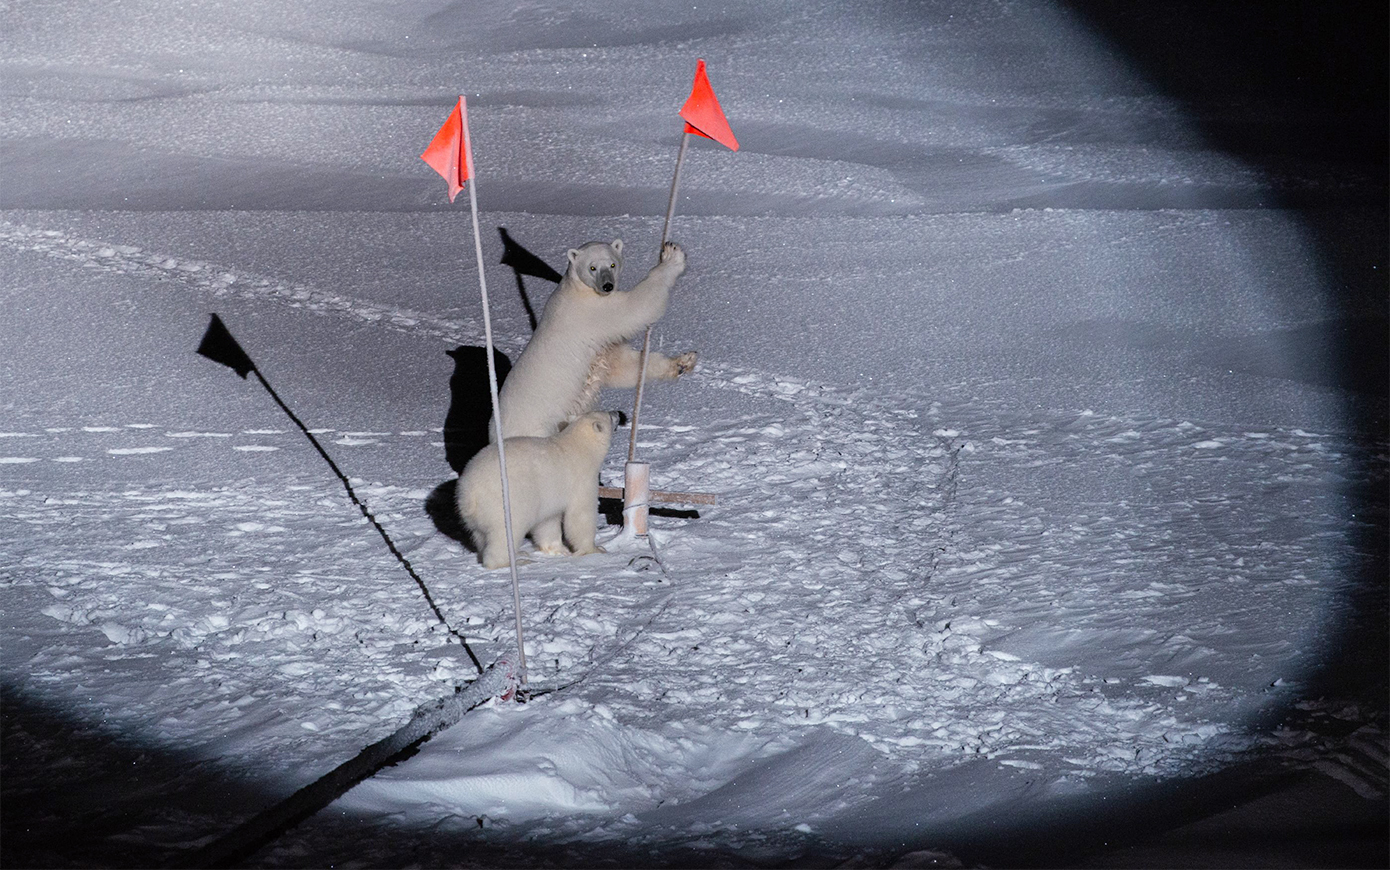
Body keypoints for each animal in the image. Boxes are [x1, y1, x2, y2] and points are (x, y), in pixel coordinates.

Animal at [455, 408, 619, 567]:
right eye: (609, 416)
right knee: (504, 535)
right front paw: (595, 549)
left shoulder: (549, 494)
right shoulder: (581, 480)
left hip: (476, 517)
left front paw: (558, 549)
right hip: (504, 505)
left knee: (480, 536)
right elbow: (580, 516)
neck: (579, 446)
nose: (618, 413)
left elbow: (547, 520)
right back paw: (514, 561)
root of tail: (469, 493)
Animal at [497, 239, 700, 436]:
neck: (577, 287)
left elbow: (624, 366)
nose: (607, 286)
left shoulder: (603, 348)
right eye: (592, 267)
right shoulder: (593, 311)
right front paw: (673, 255)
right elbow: (636, 306)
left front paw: (683, 362)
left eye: (612, 264)